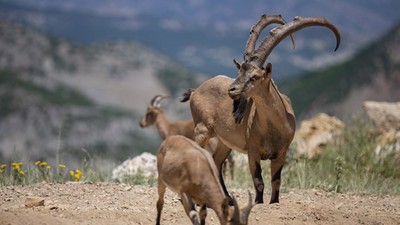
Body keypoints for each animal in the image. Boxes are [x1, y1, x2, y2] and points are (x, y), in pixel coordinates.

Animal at [181, 14, 340, 204]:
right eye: (239, 72)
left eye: (255, 76)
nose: (232, 90)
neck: (273, 128)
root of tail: (195, 91)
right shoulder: (253, 152)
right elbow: (258, 181)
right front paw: (258, 202)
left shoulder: (281, 153)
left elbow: (276, 181)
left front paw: (274, 202)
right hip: (202, 129)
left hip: (224, 142)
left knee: (216, 162)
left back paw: (226, 198)